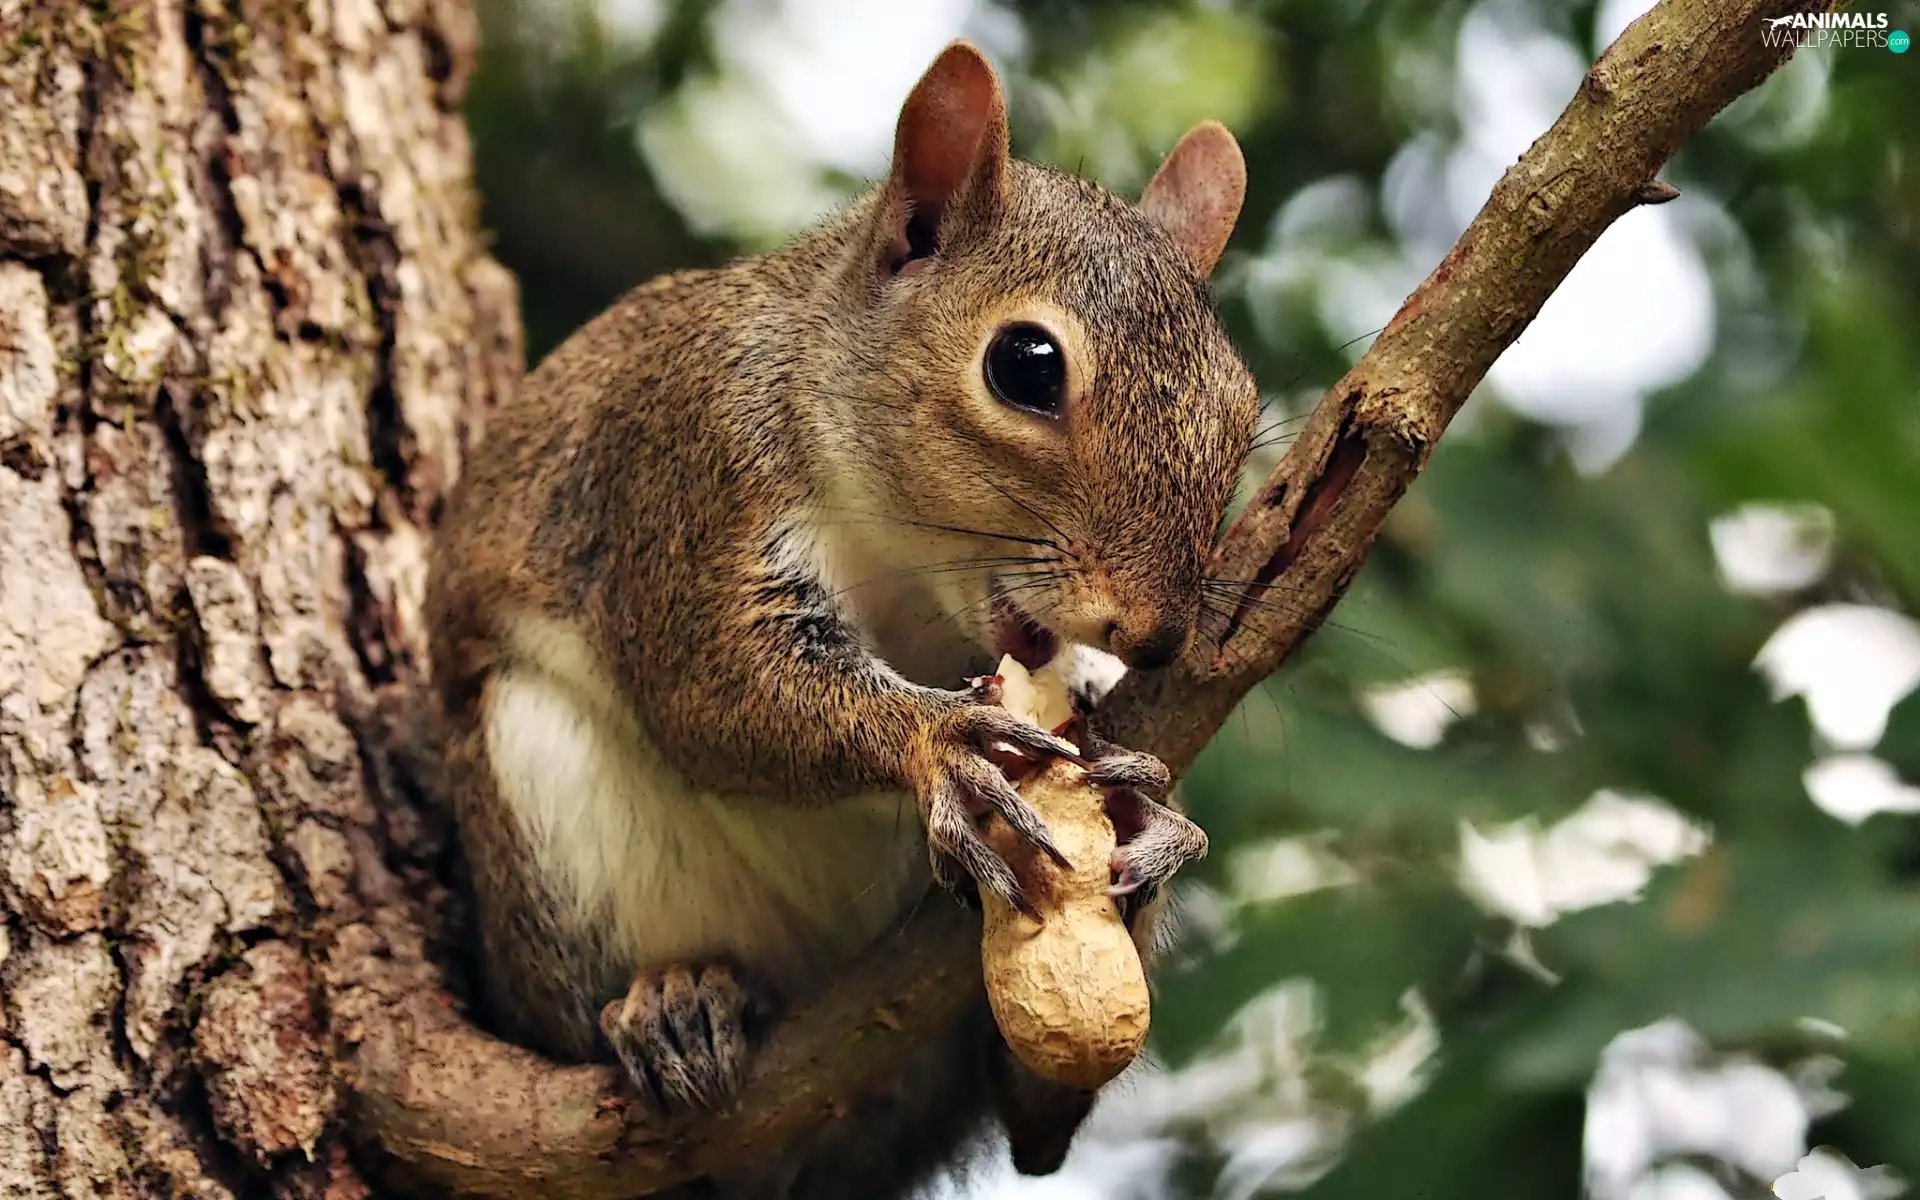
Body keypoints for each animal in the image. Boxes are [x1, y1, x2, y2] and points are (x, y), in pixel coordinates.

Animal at [426, 40, 1256, 1200]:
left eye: (1242, 403)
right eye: (1026, 365)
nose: (1156, 635)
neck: (905, 565)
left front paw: (1142, 799)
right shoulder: (688, 466)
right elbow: (712, 686)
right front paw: (940, 744)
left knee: (1035, 1116)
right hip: (541, 817)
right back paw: (672, 1004)